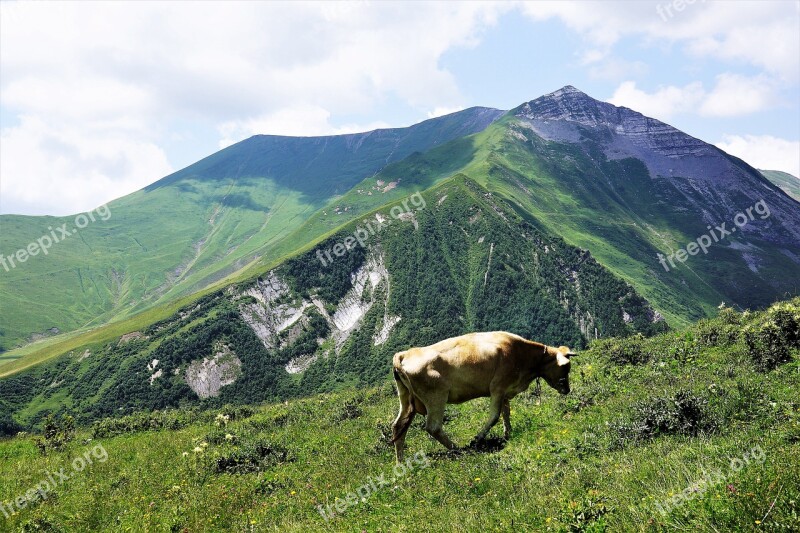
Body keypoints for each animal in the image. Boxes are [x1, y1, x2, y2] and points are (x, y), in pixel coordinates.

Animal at [390, 332, 572, 462]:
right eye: (565, 367)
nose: (567, 389)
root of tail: (404, 354)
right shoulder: (497, 387)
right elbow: (495, 416)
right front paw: (477, 439)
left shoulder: (505, 391)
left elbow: (506, 413)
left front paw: (508, 434)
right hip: (436, 397)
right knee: (433, 427)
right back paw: (458, 450)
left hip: (406, 399)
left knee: (398, 426)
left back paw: (400, 461)